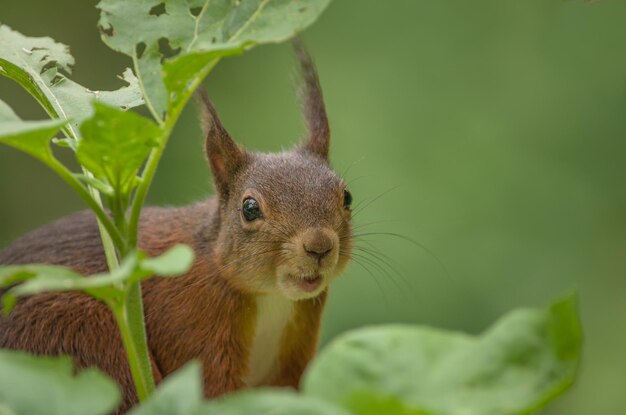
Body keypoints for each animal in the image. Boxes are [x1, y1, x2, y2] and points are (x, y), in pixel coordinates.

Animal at [0, 44, 352, 414]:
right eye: (250, 208)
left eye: (347, 197)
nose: (319, 246)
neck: (271, 297)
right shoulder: (191, 331)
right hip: (82, 337)